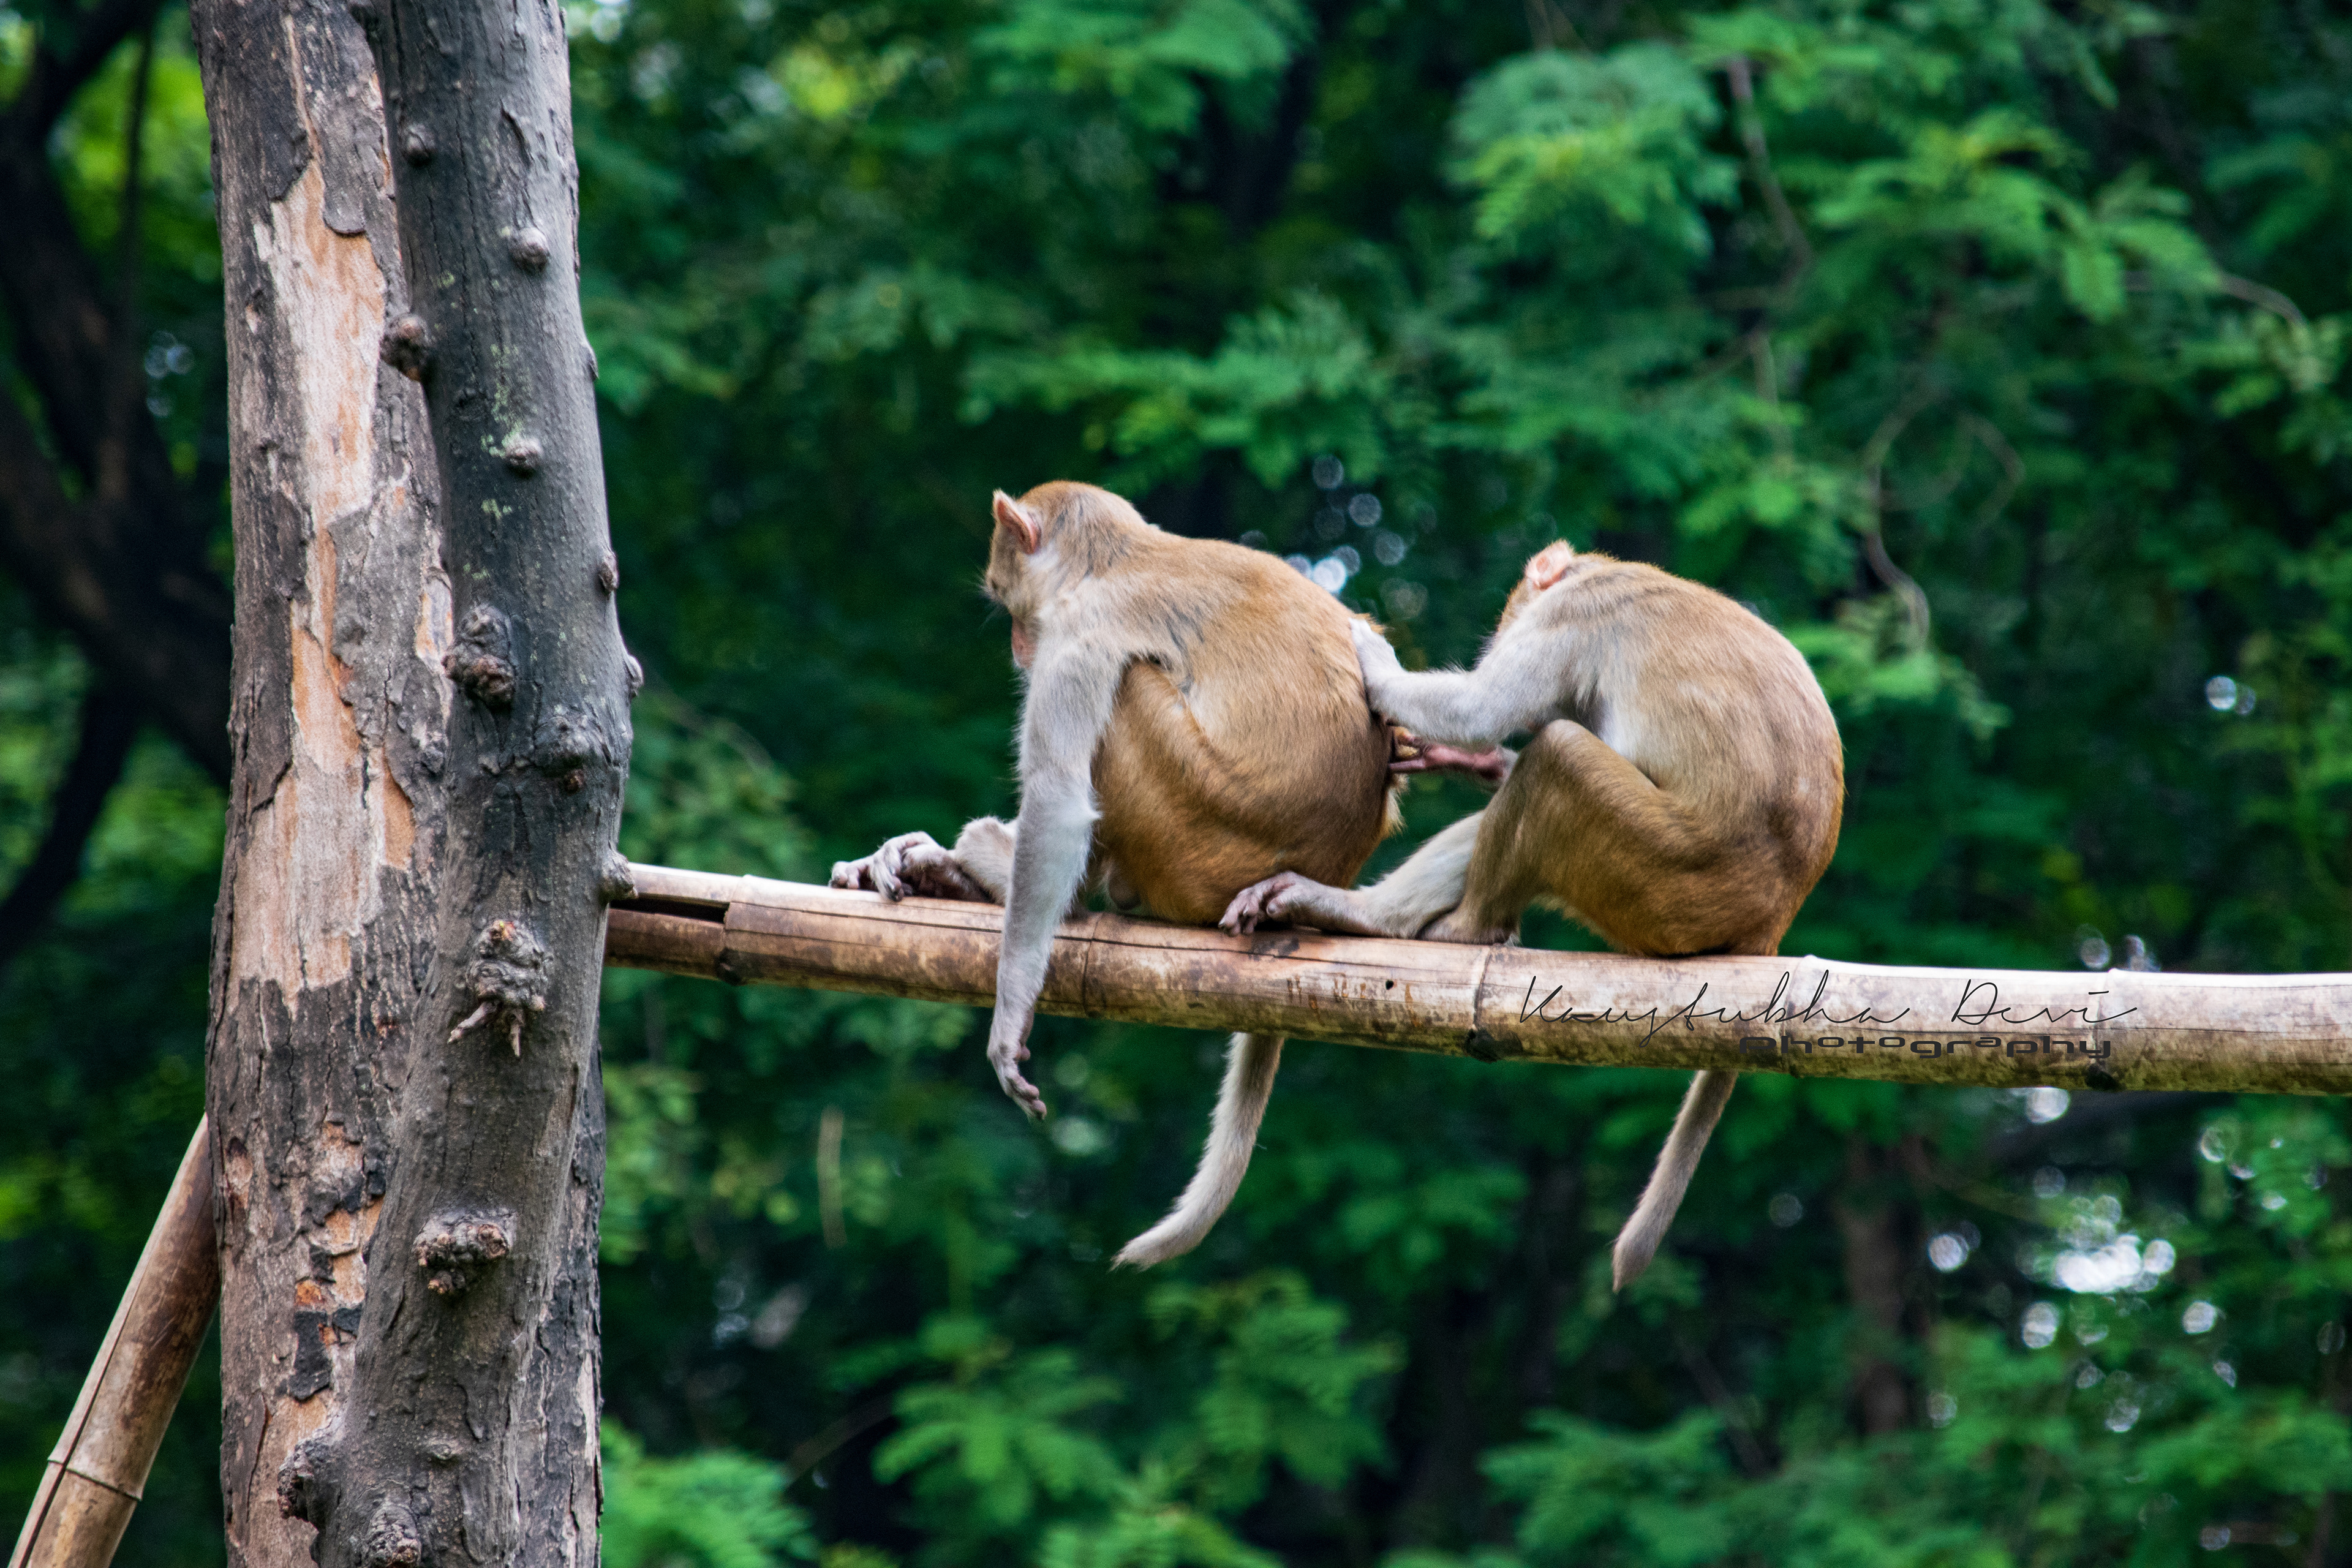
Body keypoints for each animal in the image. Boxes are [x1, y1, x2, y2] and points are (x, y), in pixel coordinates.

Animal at [829, 481, 1398, 1266]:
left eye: (1006, 599)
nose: (1019, 648)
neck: (1114, 559)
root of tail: (1333, 865)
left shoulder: (1079, 633)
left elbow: (1062, 802)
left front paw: (1009, 1015)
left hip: (1191, 842)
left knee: (1126, 692)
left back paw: (992, 870)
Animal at [1219, 540, 1844, 1287]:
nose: (1503, 627)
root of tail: (1772, 919)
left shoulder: (1572, 618)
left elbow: (1482, 709)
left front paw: (1373, 655)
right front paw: (1475, 760)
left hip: (1667, 881)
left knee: (1561, 756)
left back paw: (1466, 930)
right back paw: (1371, 915)